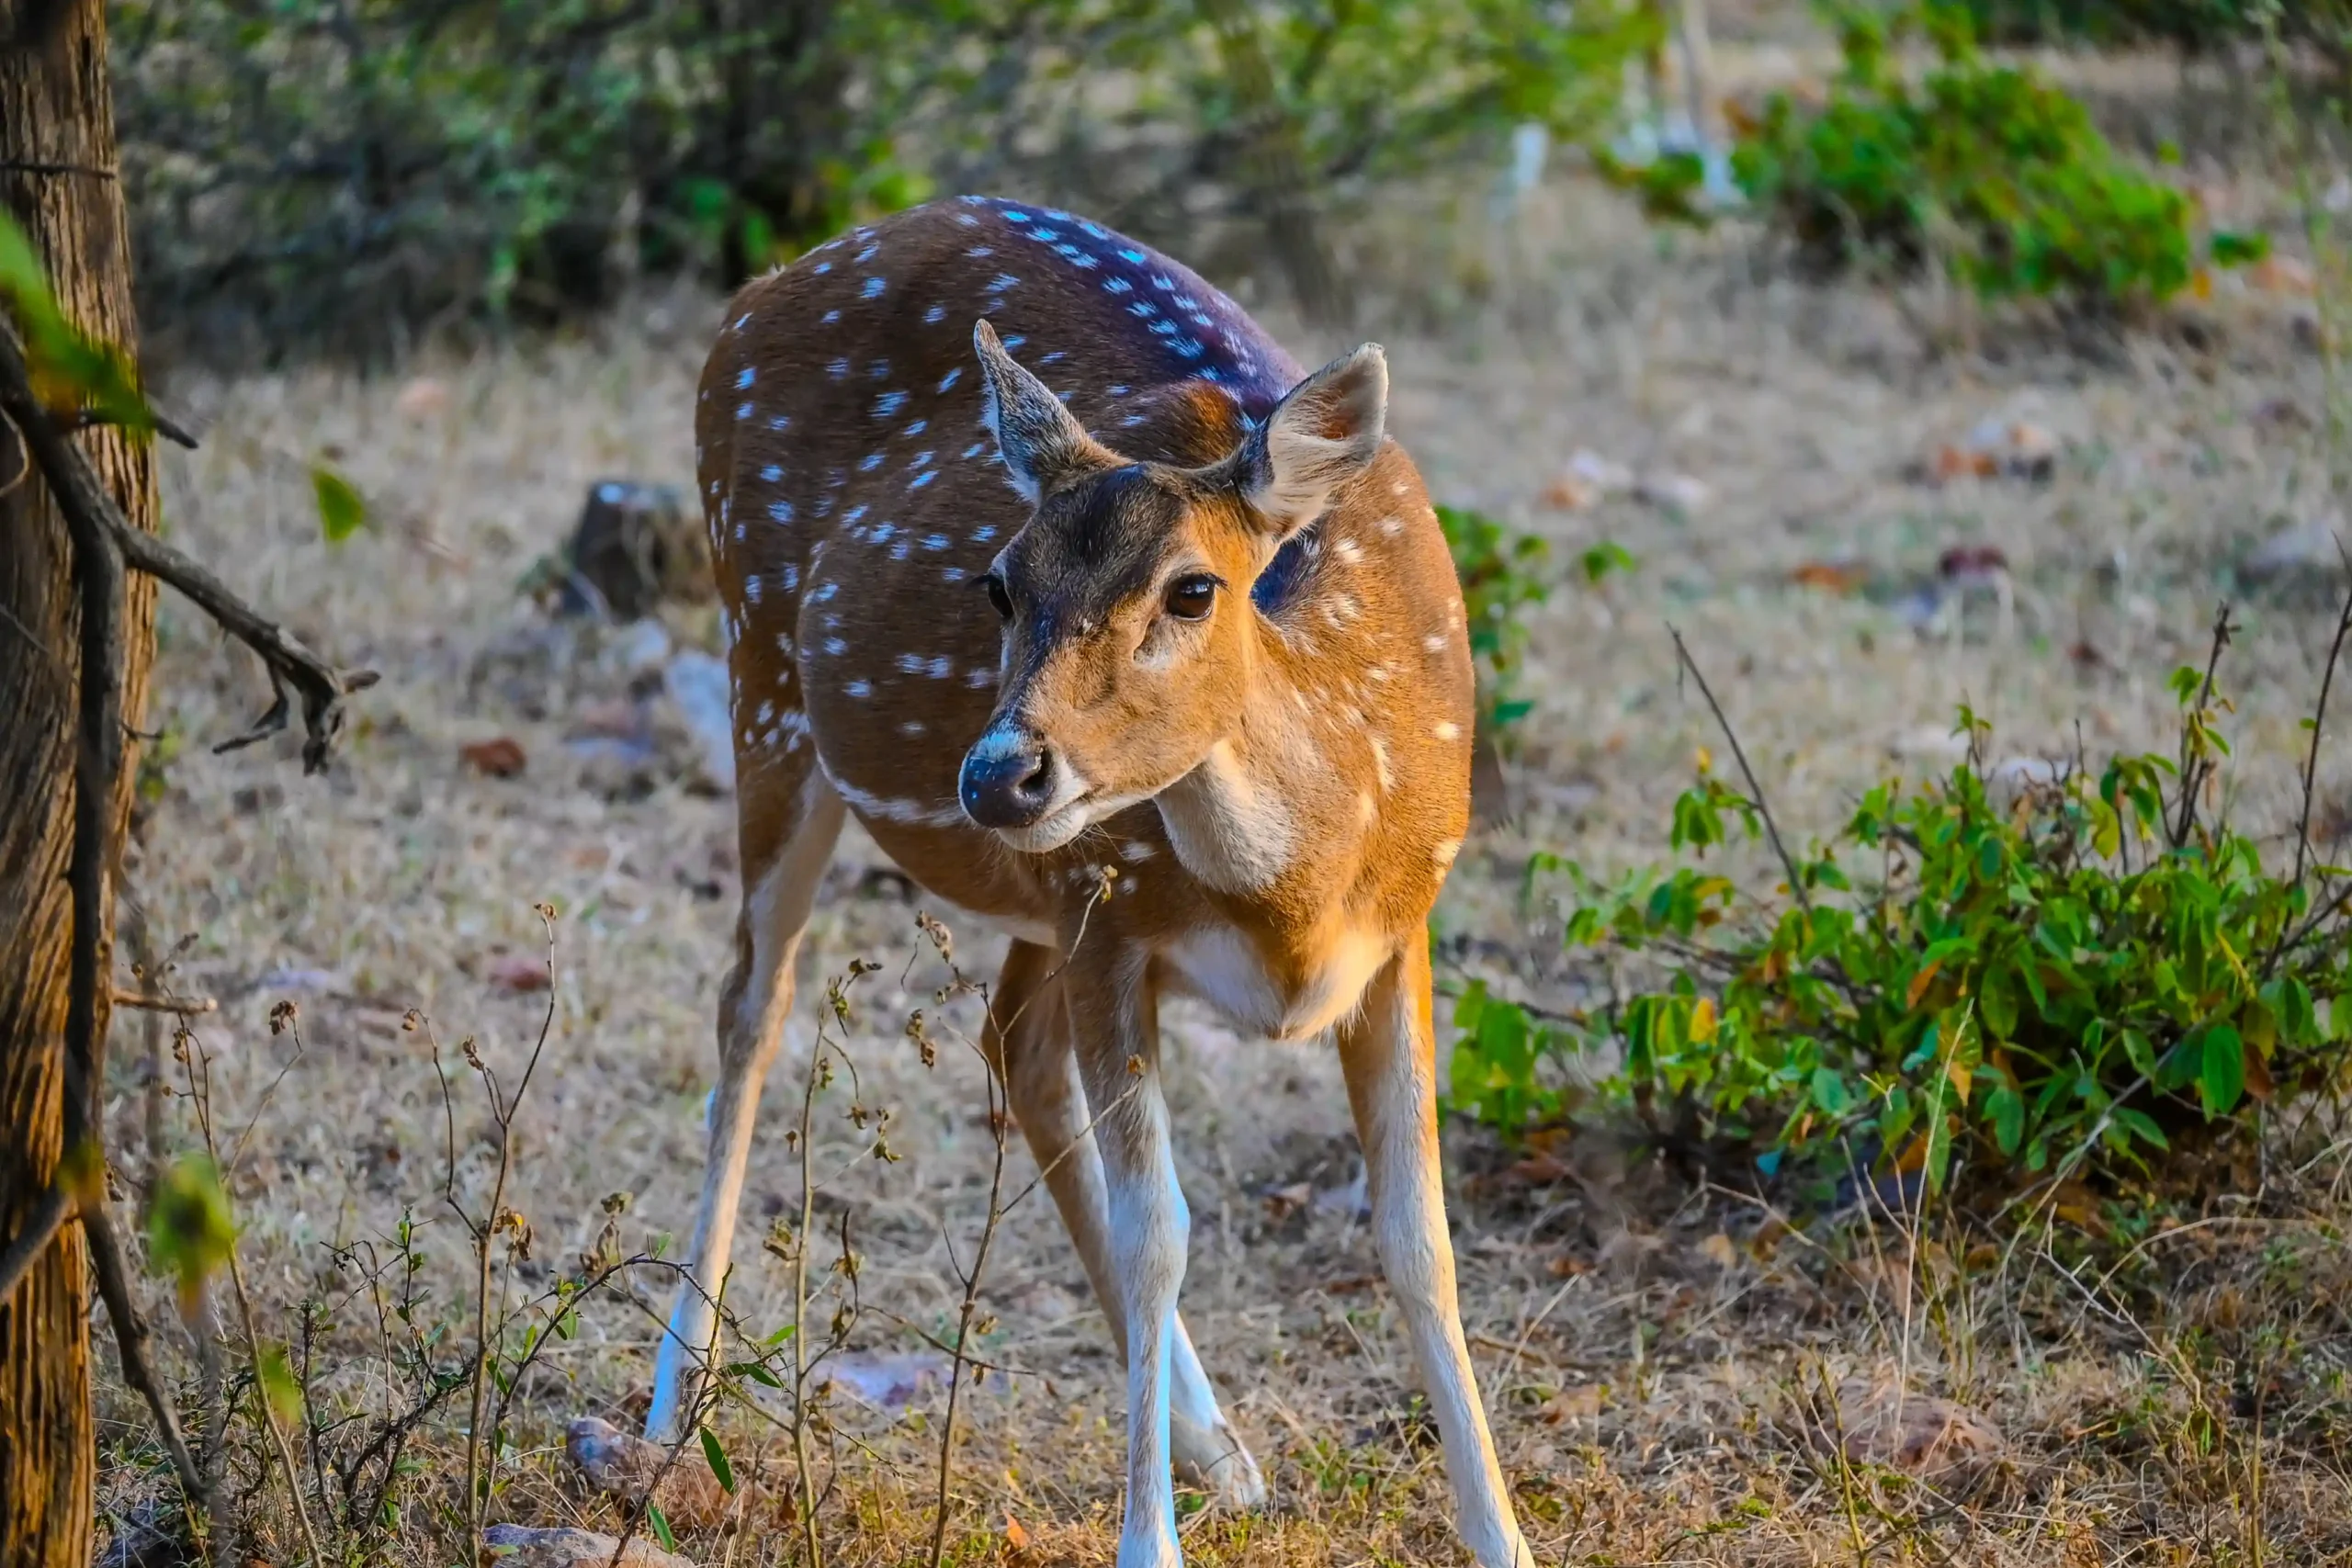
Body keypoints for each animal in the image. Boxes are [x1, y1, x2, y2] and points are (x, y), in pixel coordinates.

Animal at [646, 194, 1532, 1568]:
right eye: (997, 582)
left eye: (1192, 587)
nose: (998, 771)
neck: (1298, 899)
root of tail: (757, 289)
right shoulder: (1113, 914)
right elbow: (1159, 1229)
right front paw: (1146, 1542)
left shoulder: (1404, 927)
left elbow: (1419, 1241)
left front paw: (1503, 1535)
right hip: (768, 682)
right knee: (753, 1003)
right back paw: (668, 1410)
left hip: (1031, 876)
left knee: (1009, 1043)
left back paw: (1222, 1450)